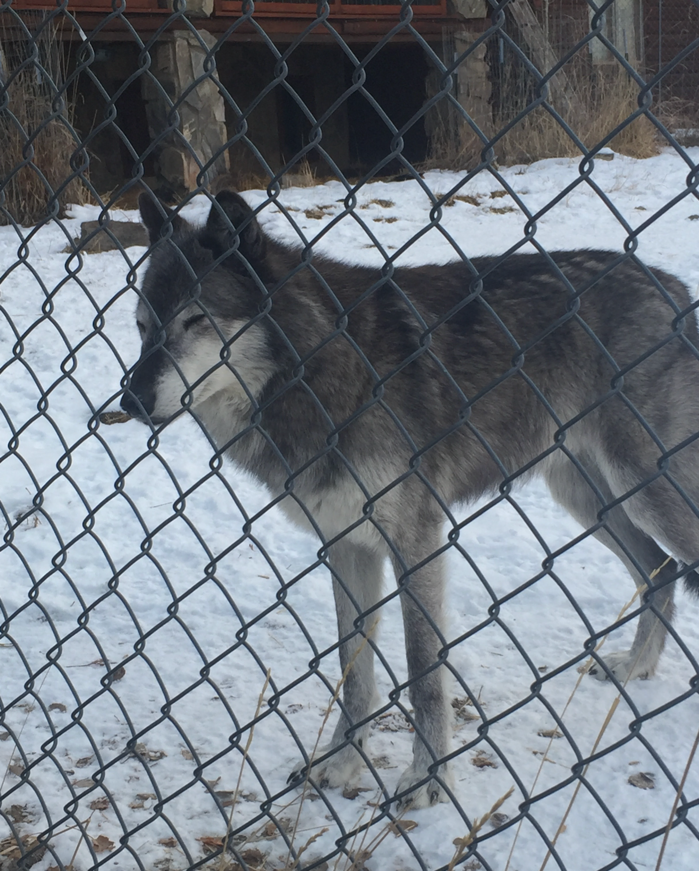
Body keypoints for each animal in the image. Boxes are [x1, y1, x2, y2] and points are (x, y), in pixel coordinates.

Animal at [121, 189, 699, 809]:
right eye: (142, 327)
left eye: (195, 320)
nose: (129, 400)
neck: (317, 366)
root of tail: (671, 284)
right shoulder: (347, 545)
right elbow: (353, 670)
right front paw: (342, 764)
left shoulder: (417, 542)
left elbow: (424, 673)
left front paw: (427, 779)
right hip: (591, 500)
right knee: (660, 569)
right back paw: (635, 667)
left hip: (643, 490)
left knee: (668, 562)